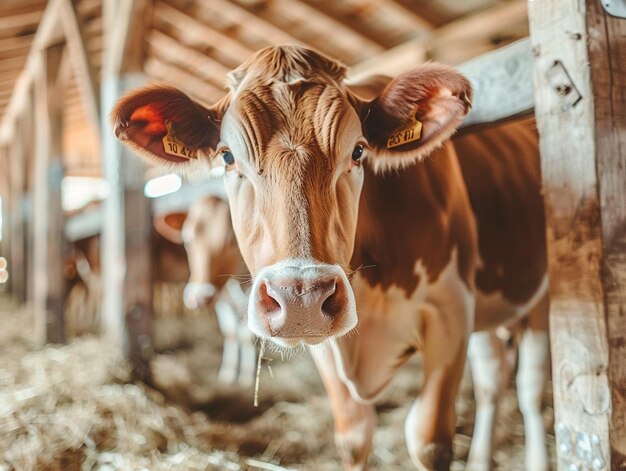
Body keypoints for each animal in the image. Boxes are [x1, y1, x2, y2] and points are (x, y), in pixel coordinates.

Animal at [111, 47, 544, 471]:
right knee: (492, 377)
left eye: (358, 151)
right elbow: (353, 438)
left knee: (529, 390)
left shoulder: (450, 314)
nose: (300, 298)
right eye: (228, 157)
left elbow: (428, 442)